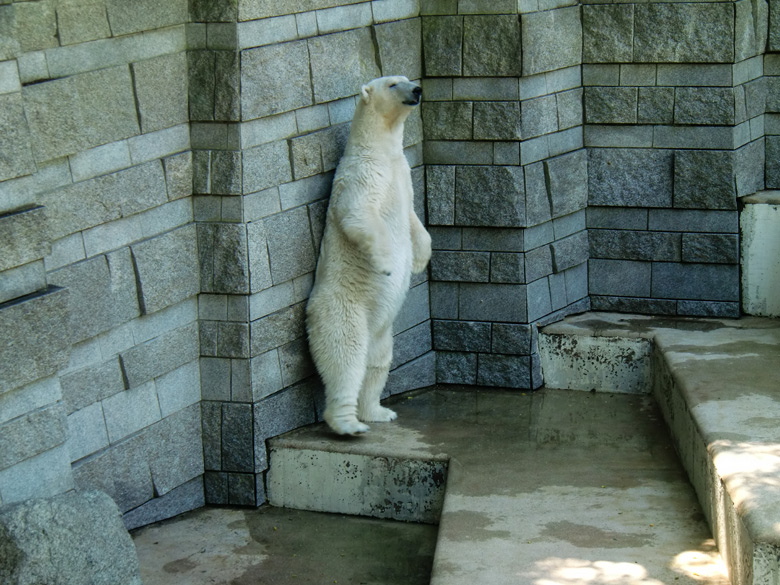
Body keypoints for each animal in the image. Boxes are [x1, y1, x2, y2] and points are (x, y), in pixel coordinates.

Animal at [304, 76, 432, 434]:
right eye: (393, 84)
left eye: (407, 78)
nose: (417, 89)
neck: (381, 149)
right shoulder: (364, 173)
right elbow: (359, 214)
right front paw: (388, 265)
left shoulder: (402, 174)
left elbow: (414, 219)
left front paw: (420, 261)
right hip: (343, 310)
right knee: (345, 358)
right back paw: (349, 424)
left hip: (382, 329)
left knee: (377, 362)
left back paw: (377, 411)